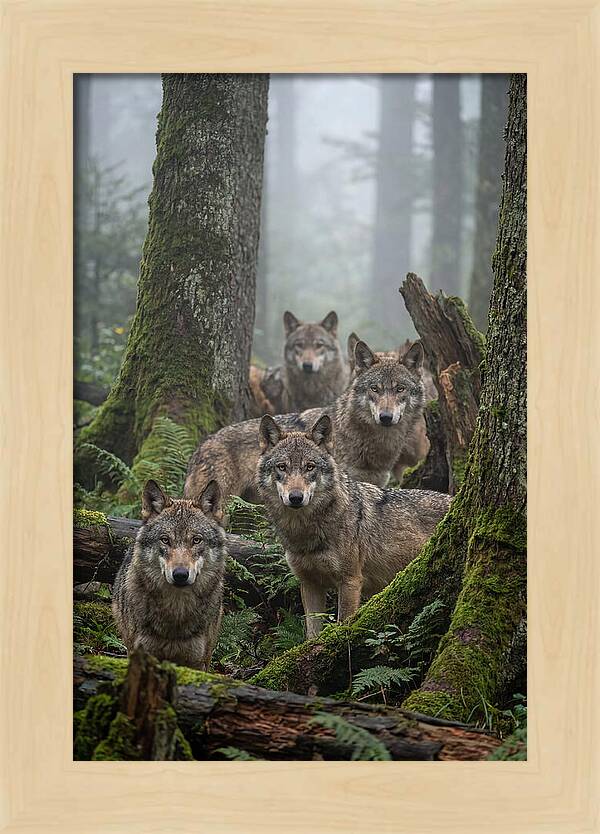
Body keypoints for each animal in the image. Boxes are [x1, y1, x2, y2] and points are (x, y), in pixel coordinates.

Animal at [256, 413, 451, 636]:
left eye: (310, 467)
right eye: (282, 467)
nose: (296, 497)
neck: (305, 532)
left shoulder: (350, 581)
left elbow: (343, 624)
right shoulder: (309, 584)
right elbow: (311, 634)